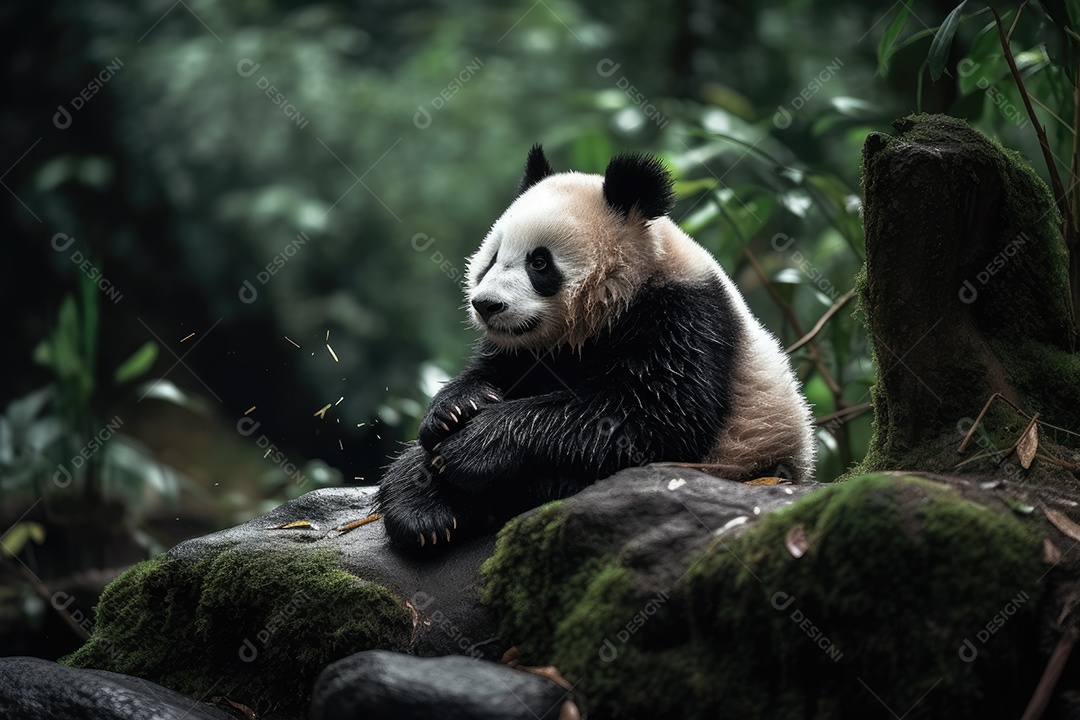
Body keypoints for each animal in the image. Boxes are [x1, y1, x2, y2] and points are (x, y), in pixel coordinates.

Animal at [377, 145, 814, 549]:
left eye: (539, 262)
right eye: (493, 257)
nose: (487, 305)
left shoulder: (685, 316)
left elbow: (654, 412)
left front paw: (473, 447)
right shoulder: (532, 348)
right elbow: (494, 370)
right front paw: (455, 409)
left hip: (738, 457)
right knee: (411, 460)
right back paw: (423, 512)